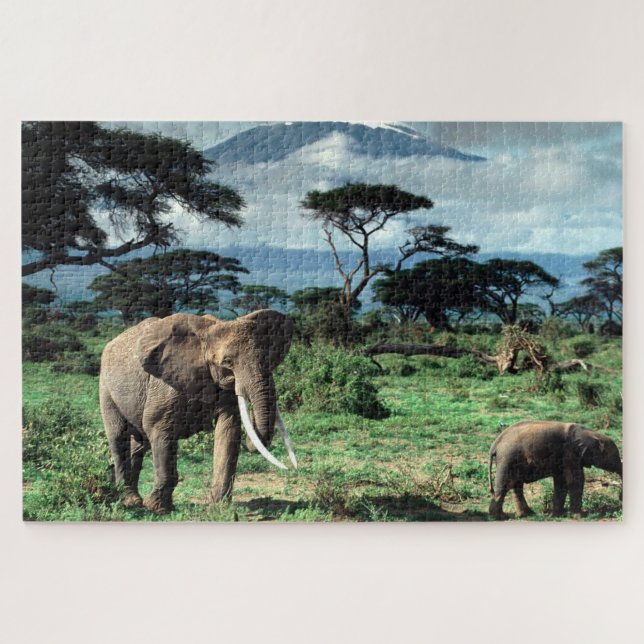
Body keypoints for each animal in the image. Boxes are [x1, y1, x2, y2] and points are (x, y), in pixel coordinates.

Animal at [99, 309, 297, 513]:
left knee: (139, 444)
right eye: (227, 362)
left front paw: (219, 507)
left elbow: (228, 430)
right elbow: (159, 429)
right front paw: (157, 508)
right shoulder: (164, 385)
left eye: (267, 359)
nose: (251, 414)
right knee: (118, 436)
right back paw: (130, 501)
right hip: (106, 386)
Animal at [488, 420, 622, 520]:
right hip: (507, 458)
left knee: (516, 486)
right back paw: (500, 517)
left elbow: (561, 482)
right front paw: (579, 516)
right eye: (615, 457)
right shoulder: (570, 453)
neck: (590, 433)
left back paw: (527, 514)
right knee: (504, 485)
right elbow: (575, 480)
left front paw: (557, 515)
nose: (620, 496)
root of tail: (495, 444)